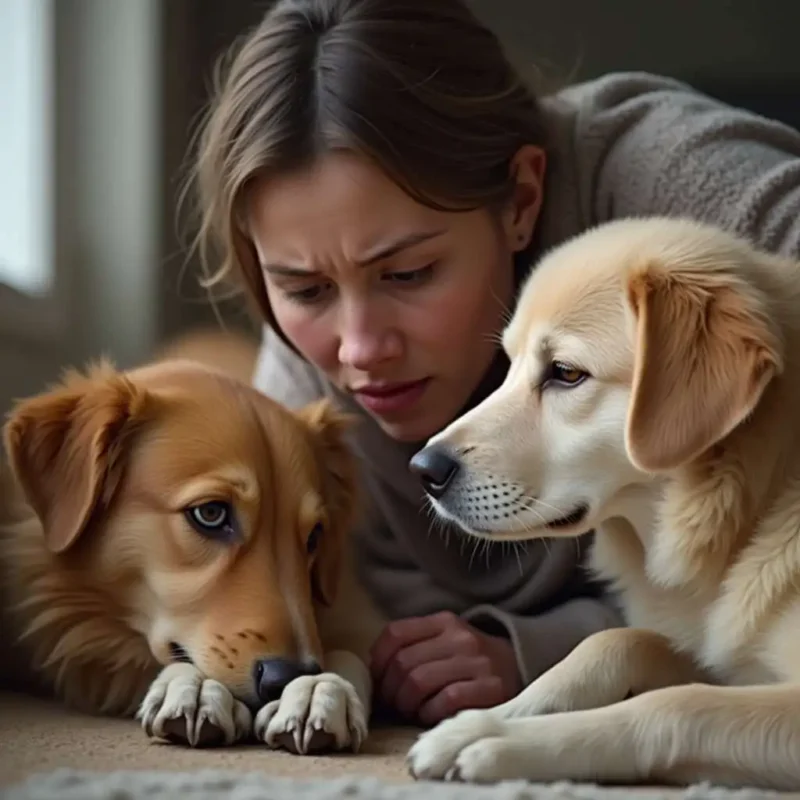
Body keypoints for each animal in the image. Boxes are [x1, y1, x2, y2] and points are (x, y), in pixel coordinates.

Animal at [0, 334, 382, 752]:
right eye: (210, 514)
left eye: (314, 536)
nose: (288, 677)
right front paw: (197, 687)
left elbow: (351, 652)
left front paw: (319, 688)